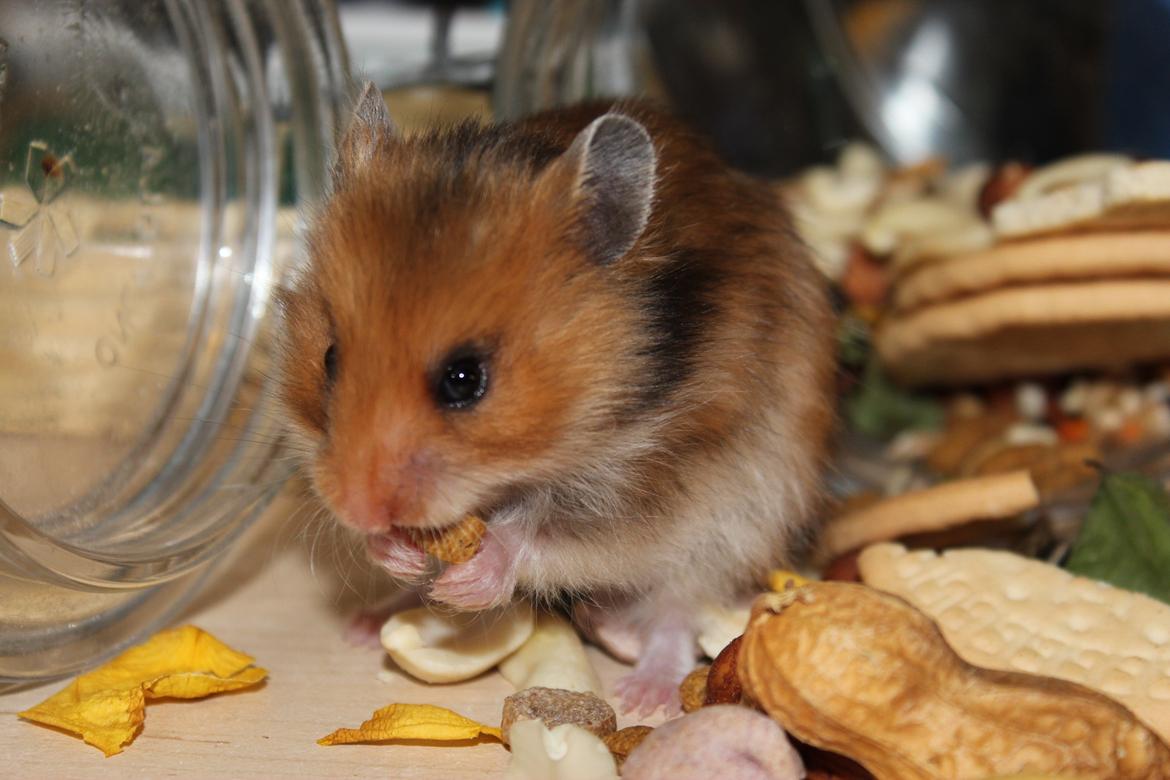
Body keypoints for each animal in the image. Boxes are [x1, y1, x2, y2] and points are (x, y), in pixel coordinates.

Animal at [276, 83, 835, 714]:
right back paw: (369, 624)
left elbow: (541, 537)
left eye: (464, 378)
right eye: (329, 359)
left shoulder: (653, 493)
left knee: (676, 611)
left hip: (737, 528)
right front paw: (394, 552)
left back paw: (645, 695)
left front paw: (469, 577)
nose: (355, 509)